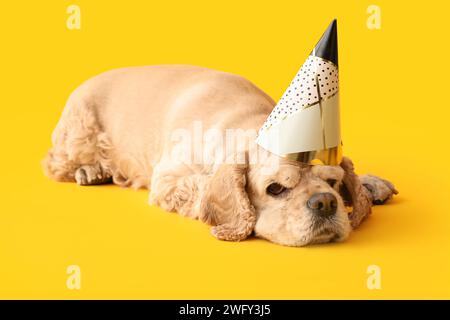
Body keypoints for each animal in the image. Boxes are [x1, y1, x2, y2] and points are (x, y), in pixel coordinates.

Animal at [43, 63, 398, 246]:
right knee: (56, 163)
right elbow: (201, 188)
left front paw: (368, 184)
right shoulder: (168, 179)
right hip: (79, 130)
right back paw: (90, 170)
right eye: (275, 189)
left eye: (333, 184)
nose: (325, 203)